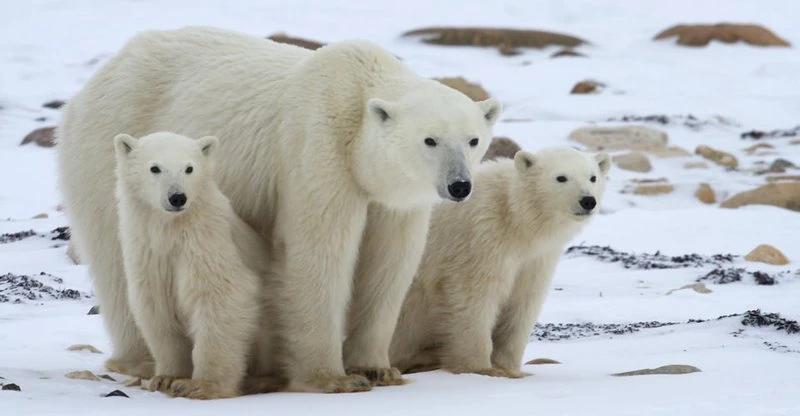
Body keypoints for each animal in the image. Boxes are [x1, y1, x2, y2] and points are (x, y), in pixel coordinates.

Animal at [114, 132, 272, 400]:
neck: (171, 229)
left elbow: (221, 297)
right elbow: (156, 309)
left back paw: (260, 380)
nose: (177, 197)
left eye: (189, 168)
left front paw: (200, 385)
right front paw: (166, 378)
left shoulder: (207, 243)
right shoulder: (148, 254)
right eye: (155, 168)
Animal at [390, 145, 608, 376]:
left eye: (593, 177)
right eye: (561, 177)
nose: (587, 200)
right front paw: (481, 369)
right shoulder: (481, 237)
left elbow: (522, 303)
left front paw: (510, 368)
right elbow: (473, 296)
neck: (514, 216)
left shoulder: (535, 259)